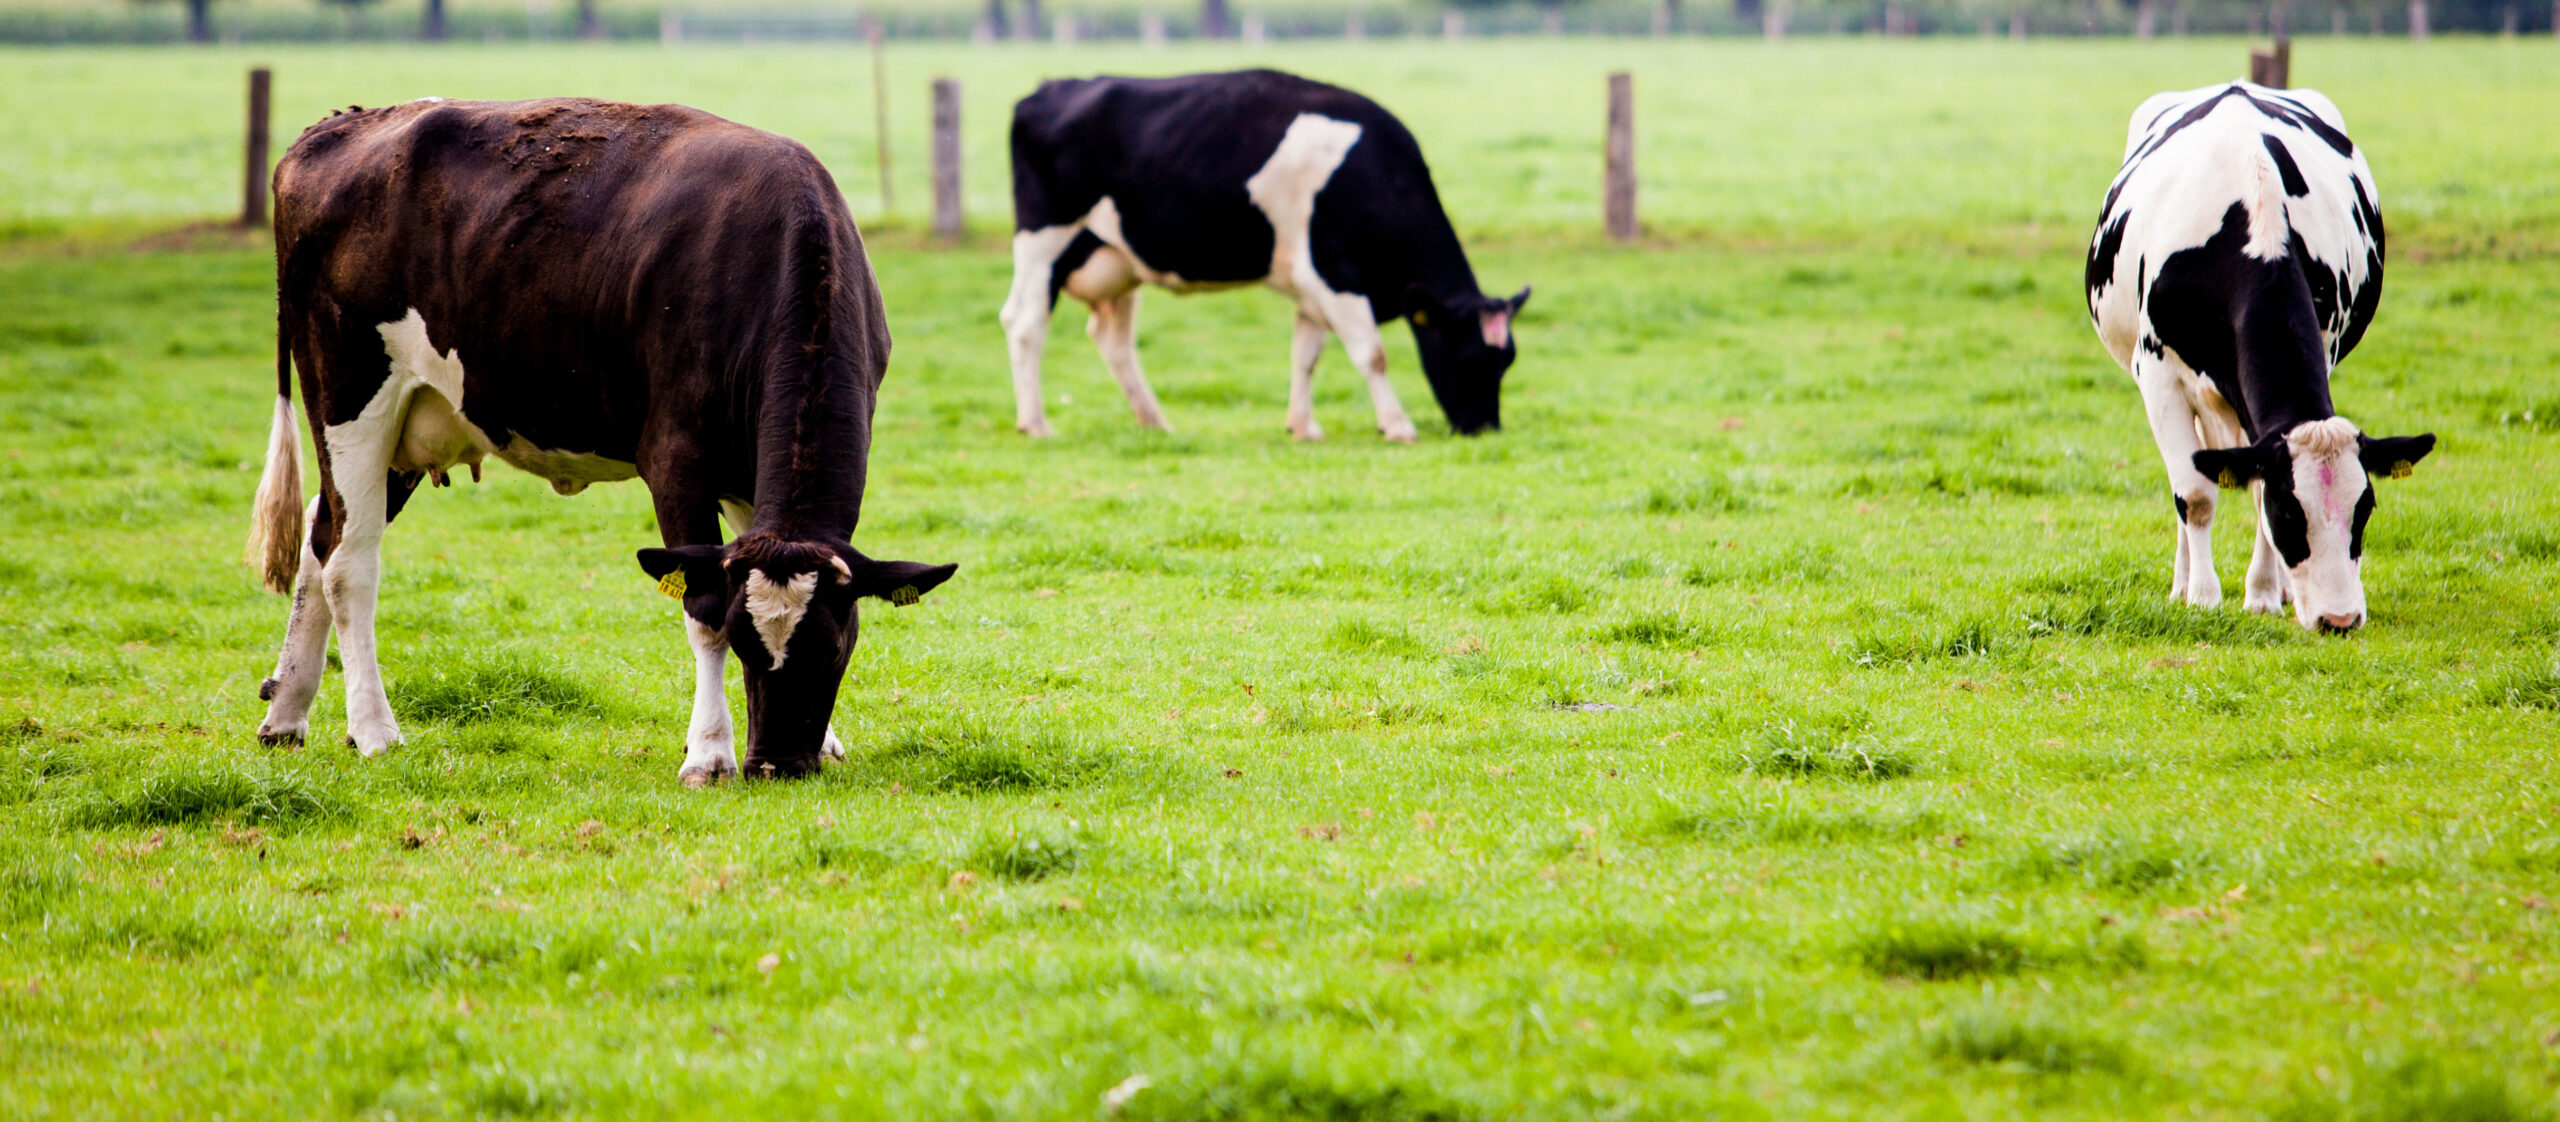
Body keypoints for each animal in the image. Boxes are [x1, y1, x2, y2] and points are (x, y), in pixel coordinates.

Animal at [244, 97, 955, 784]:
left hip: (409, 427)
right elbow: (701, 604)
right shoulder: (676, 458)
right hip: (349, 393)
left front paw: (825, 741)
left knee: (321, 532)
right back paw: (374, 731)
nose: (777, 764)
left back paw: (286, 712)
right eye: (744, 640)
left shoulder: (753, 480)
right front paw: (710, 754)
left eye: (834, 646)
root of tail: (339, 126)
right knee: (350, 564)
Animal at [999, 69, 1530, 442]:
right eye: (1470, 356)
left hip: (1116, 258)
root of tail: (1051, 88)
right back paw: (1035, 423)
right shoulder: (1336, 274)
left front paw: (1303, 426)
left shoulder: (1311, 285)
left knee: (1113, 339)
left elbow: (1306, 356)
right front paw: (1398, 425)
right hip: (1045, 239)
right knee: (1025, 322)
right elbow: (1371, 354)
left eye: (1507, 361)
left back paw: (1153, 420)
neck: (1375, 175)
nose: (1484, 428)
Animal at [2085, 82, 2433, 633]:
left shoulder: (2323, 347)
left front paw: (2265, 595)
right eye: (2289, 513)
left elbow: (2247, 485)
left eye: (2365, 510)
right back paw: (2181, 583)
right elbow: (2195, 495)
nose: (2339, 619)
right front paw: (2202, 597)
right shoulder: (2159, 376)